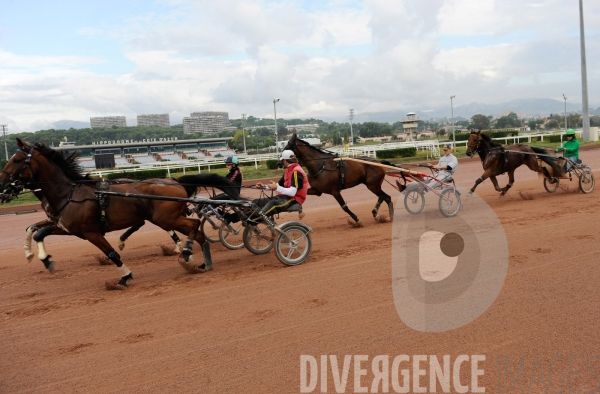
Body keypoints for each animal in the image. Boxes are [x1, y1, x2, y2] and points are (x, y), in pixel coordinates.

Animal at [0, 139, 239, 290]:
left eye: (16, 160)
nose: (2, 187)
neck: (69, 193)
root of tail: (174, 180)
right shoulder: (68, 228)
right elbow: (35, 231)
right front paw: (40, 257)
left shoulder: (91, 232)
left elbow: (112, 254)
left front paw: (124, 277)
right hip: (163, 218)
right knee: (196, 231)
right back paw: (202, 262)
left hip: (166, 218)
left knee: (194, 225)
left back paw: (187, 251)